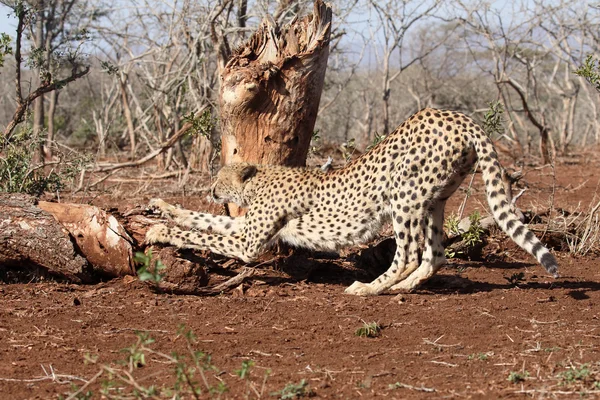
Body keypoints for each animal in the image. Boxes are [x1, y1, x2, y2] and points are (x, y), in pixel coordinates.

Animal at [145, 108, 556, 296]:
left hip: (403, 195)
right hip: (436, 198)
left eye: (218, 178)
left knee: (407, 253)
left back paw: (370, 288)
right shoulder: (246, 227)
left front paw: (161, 231)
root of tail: (453, 114)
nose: (212, 190)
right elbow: (203, 221)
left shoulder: (248, 243)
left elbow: (204, 235)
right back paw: (403, 287)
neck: (260, 179)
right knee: (435, 254)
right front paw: (163, 213)